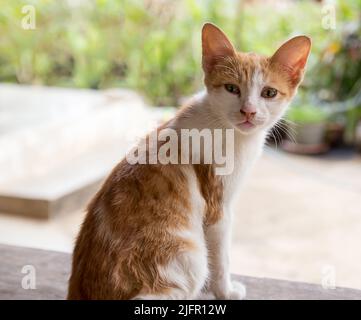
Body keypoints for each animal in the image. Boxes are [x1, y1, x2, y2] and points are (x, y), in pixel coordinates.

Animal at [67, 23, 310, 300]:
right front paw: (225, 291)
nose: (248, 111)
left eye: (269, 93)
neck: (227, 130)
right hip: (189, 258)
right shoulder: (218, 209)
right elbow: (221, 258)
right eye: (232, 88)